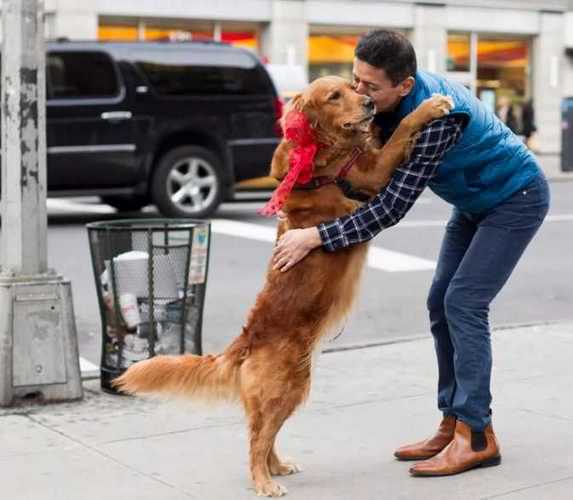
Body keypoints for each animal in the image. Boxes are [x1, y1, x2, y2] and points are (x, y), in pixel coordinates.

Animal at [114, 76, 454, 498]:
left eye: (353, 85)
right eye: (335, 96)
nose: (370, 104)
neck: (321, 157)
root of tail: (244, 343)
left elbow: (384, 135)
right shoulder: (372, 174)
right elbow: (402, 129)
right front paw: (430, 107)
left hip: (293, 387)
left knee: (265, 433)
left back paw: (276, 467)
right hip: (286, 386)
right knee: (256, 439)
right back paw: (263, 481)